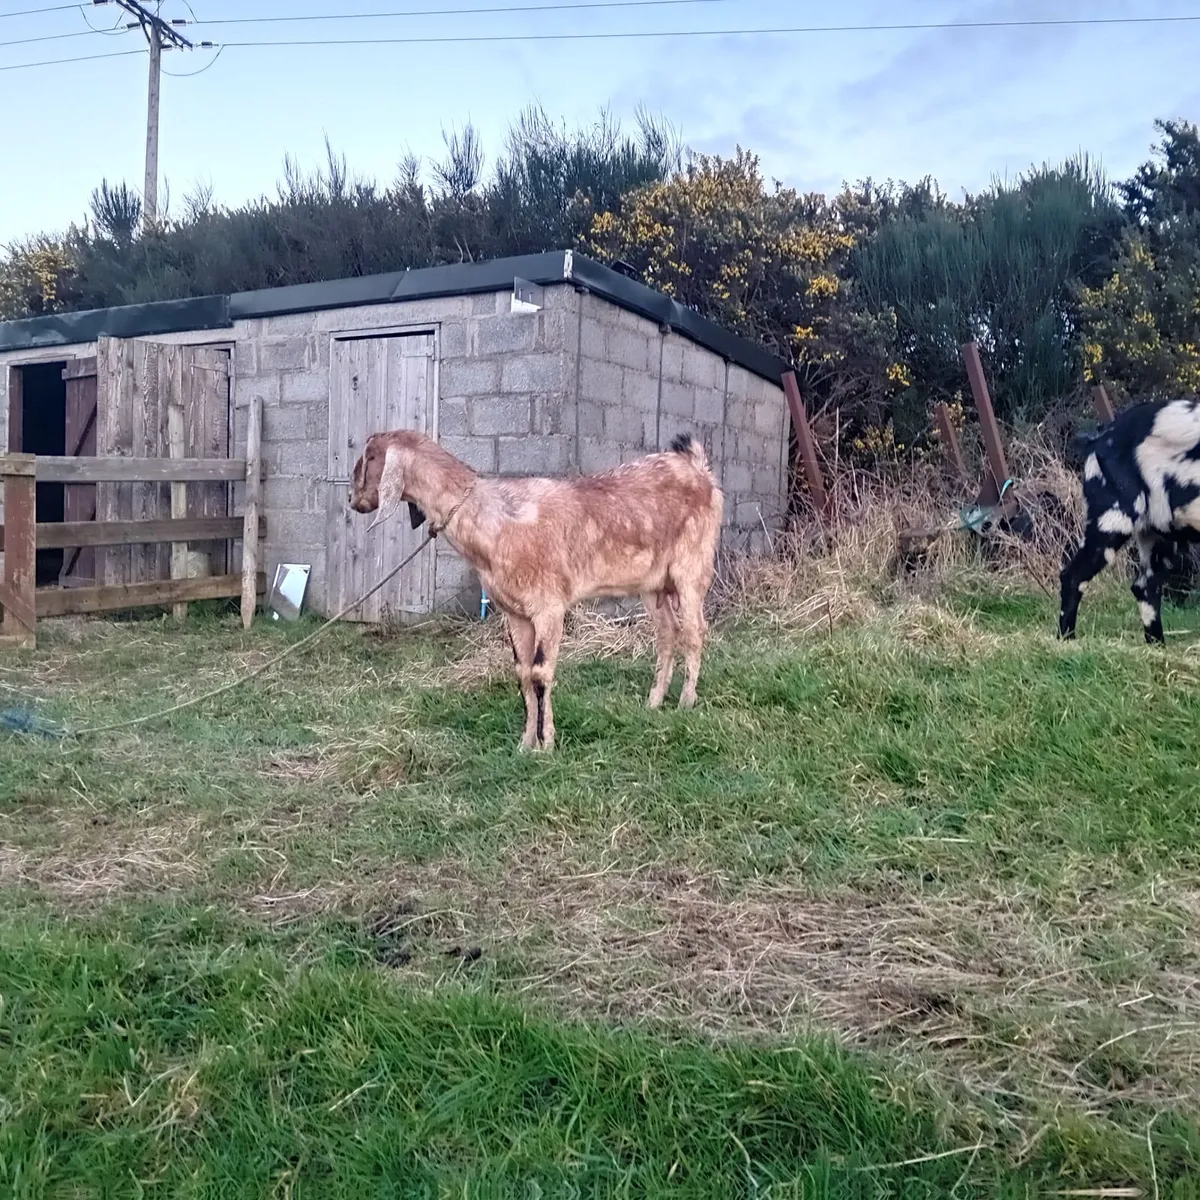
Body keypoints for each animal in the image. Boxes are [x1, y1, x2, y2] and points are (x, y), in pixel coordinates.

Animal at [349, 431, 724, 750]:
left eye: (370, 457)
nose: (352, 499)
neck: (493, 518)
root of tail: (697, 466)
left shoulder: (549, 607)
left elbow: (541, 673)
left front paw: (547, 744)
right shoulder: (514, 613)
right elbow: (523, 673)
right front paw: (525, 744)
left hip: (691, 567)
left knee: (694, 631)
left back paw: (686, 702)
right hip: (653, 584)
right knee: (668, 632)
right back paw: (654, 702)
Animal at [1060, 396, 1200, 643]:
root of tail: (1099, 440)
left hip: (1158, 534)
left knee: (1145, 587)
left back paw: (1157, 645)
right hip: (1111, 522)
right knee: (1072, 576)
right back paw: (1067, 640)